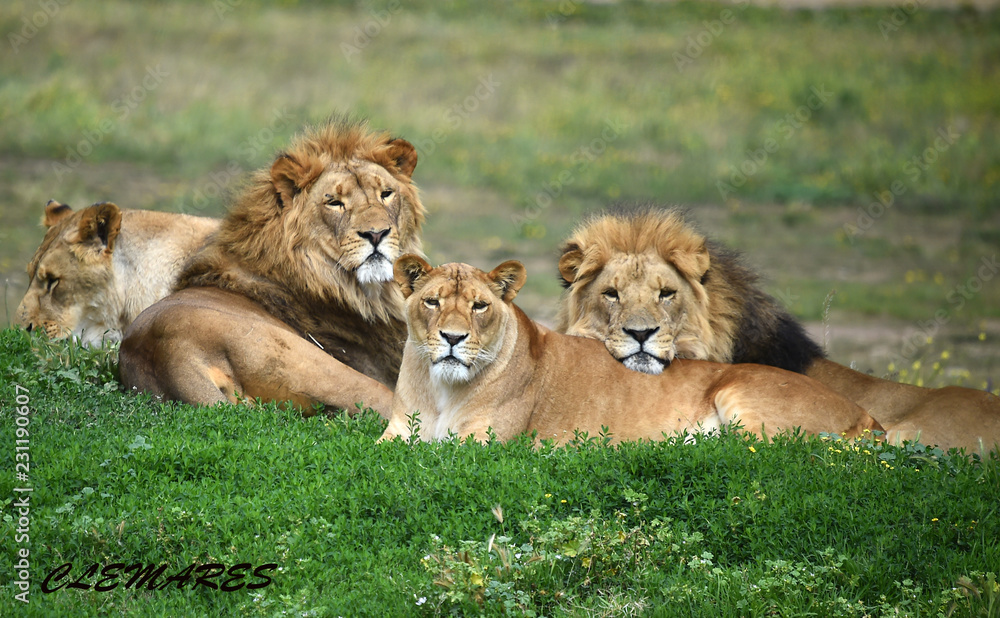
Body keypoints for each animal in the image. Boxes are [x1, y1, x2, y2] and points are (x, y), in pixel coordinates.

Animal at [378, 256, 882, 445]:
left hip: (741, 396)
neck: (443, 388)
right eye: (432, 302)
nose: (452, 338)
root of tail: (866, 415)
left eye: (479, 306)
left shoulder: (481, 444)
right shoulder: (396, 434)